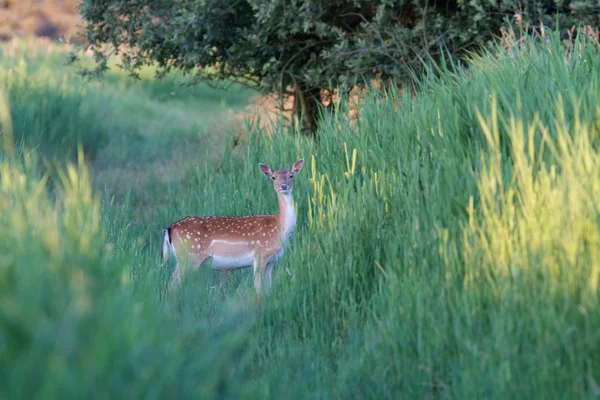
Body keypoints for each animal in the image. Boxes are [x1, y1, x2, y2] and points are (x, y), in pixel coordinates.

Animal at [162, 158, 304, 292]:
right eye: (273, 177)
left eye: (291, 175)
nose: (284, 186)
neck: (279, 227)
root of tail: (169, 229)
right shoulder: (259, 255)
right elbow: (258, 289)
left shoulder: (272, 261)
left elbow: (268, 289)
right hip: (189, 257)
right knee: (172, 283)